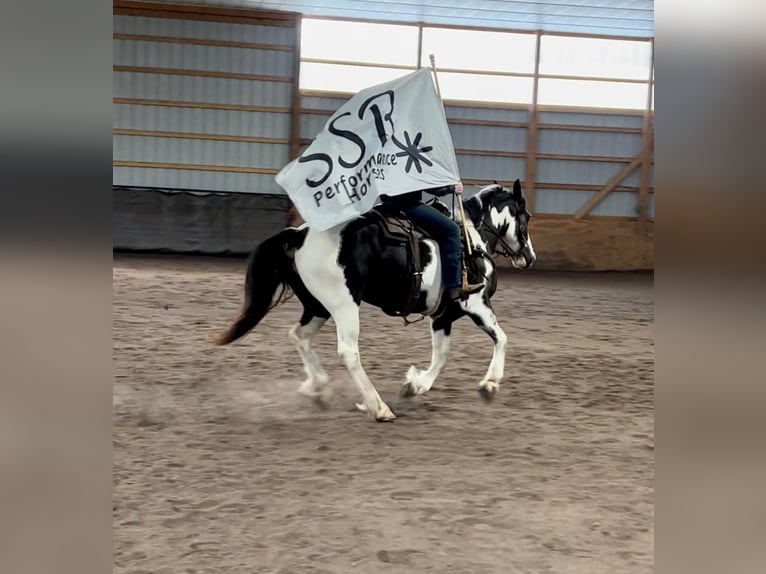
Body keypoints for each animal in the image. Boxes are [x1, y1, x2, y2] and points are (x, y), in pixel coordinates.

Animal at [214, 181, 540, 424]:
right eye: (525, 217)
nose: (530, 257)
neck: (471, 239)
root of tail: (298, 234)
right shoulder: (477, 305)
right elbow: (501, 338)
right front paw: (489, 385)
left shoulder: (442, 317)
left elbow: (442, 355)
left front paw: (414, 385)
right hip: (344, 306)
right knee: (348, 352)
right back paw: (378, 407)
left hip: (318, 306)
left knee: (300, 336)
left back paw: (318, 389)